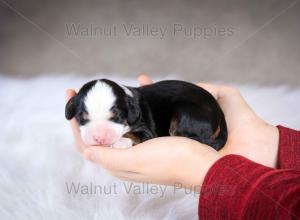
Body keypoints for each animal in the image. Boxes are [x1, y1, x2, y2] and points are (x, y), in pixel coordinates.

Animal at [64, 78, 226, 150]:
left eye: (117, 117)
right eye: (81, 118)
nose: (99, 139)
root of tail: (219, 111)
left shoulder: (146, 129)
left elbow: (135, 135)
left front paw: (121, 142)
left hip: (185, 114)